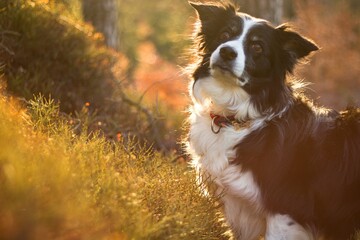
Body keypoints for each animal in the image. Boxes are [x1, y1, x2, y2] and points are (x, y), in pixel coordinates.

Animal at [187, 2, 360, 240]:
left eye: (257, 47)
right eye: (225, 34)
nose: (227, 51)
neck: (238, 119)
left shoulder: (286, 211)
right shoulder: (239, 208)